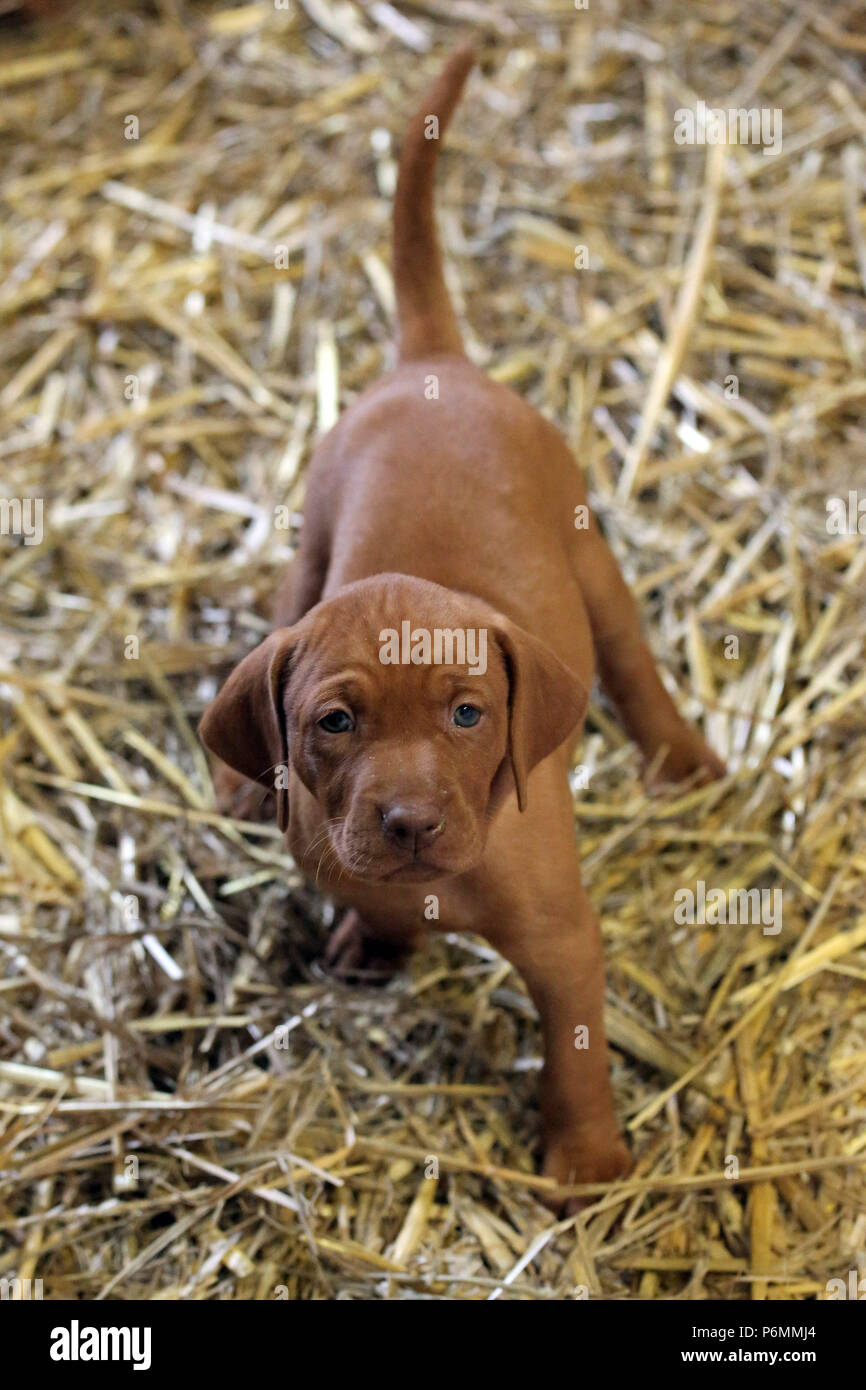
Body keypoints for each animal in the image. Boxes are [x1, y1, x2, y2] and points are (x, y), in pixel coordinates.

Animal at [200, 48, 722, 1200]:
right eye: (334, 724)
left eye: (470, 715)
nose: (406, 823)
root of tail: (430, 364)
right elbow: (383, 904)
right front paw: (380, 939)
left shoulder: (563, 937)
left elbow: (574, 1046)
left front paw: (585, 1155)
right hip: (309, 545)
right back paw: (240, 781)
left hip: (588, 552)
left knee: (631, 658)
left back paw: (680, 756)